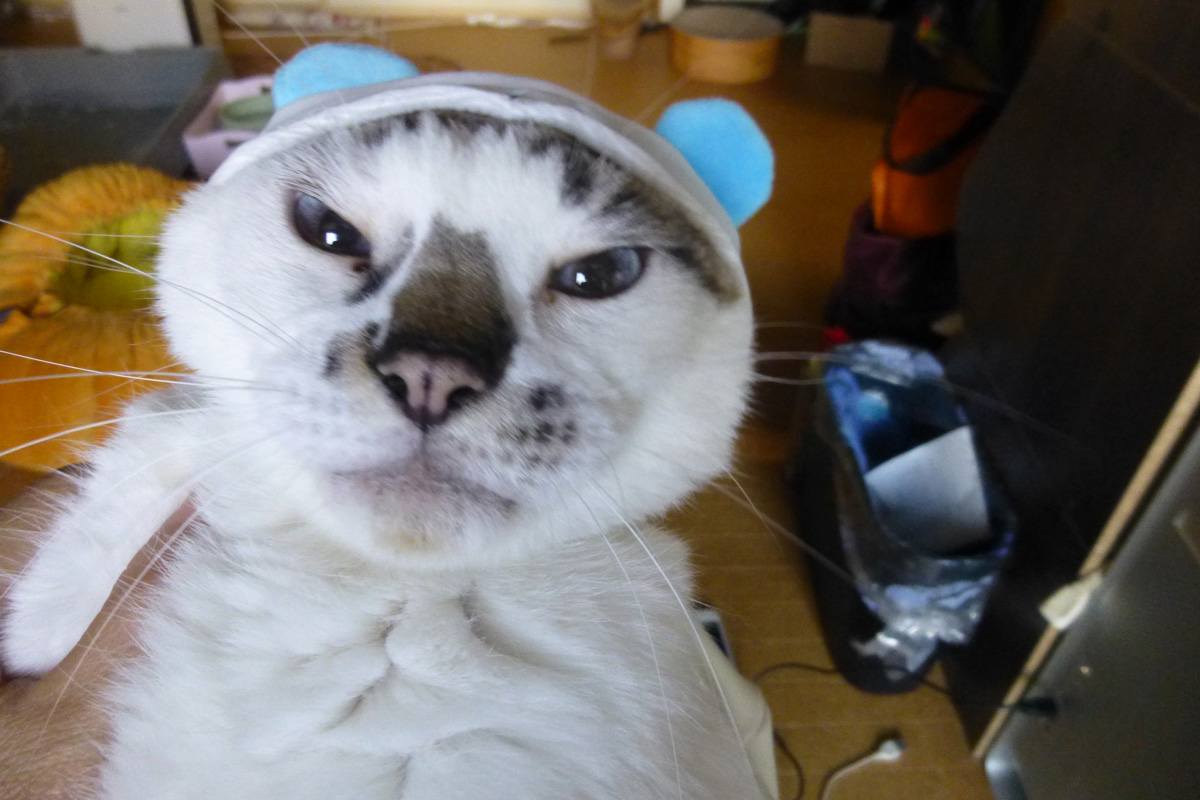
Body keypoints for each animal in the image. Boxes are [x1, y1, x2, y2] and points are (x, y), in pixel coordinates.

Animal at [1, 53, 773, 799]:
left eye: (603, 273)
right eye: (327, 228)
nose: (431, 375)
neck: (408, 605)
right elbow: (141, 463)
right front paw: (41, 628)